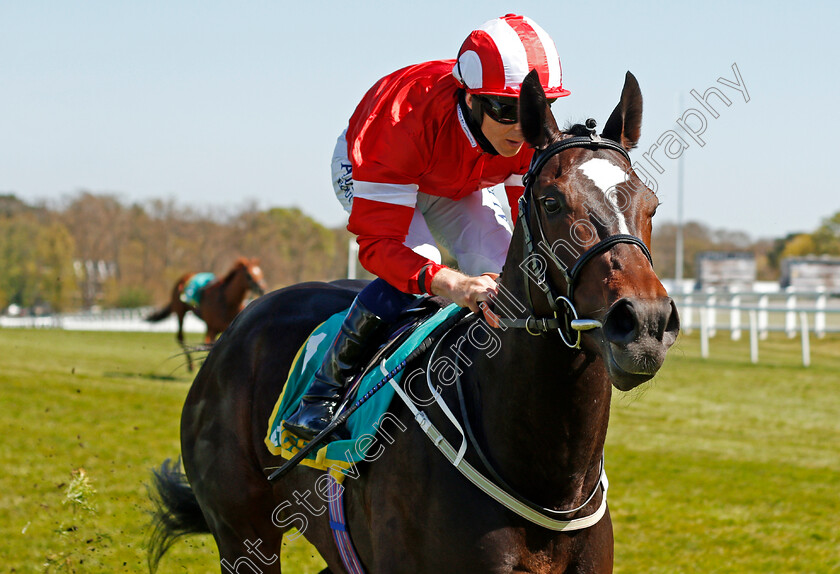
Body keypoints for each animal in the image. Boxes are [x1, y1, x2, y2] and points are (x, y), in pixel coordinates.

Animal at [148, 73, 680, 574]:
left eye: (651, 204)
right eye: (551, 202)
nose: (644, 323)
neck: (547, 480)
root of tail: (235, 332)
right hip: (242, 536)